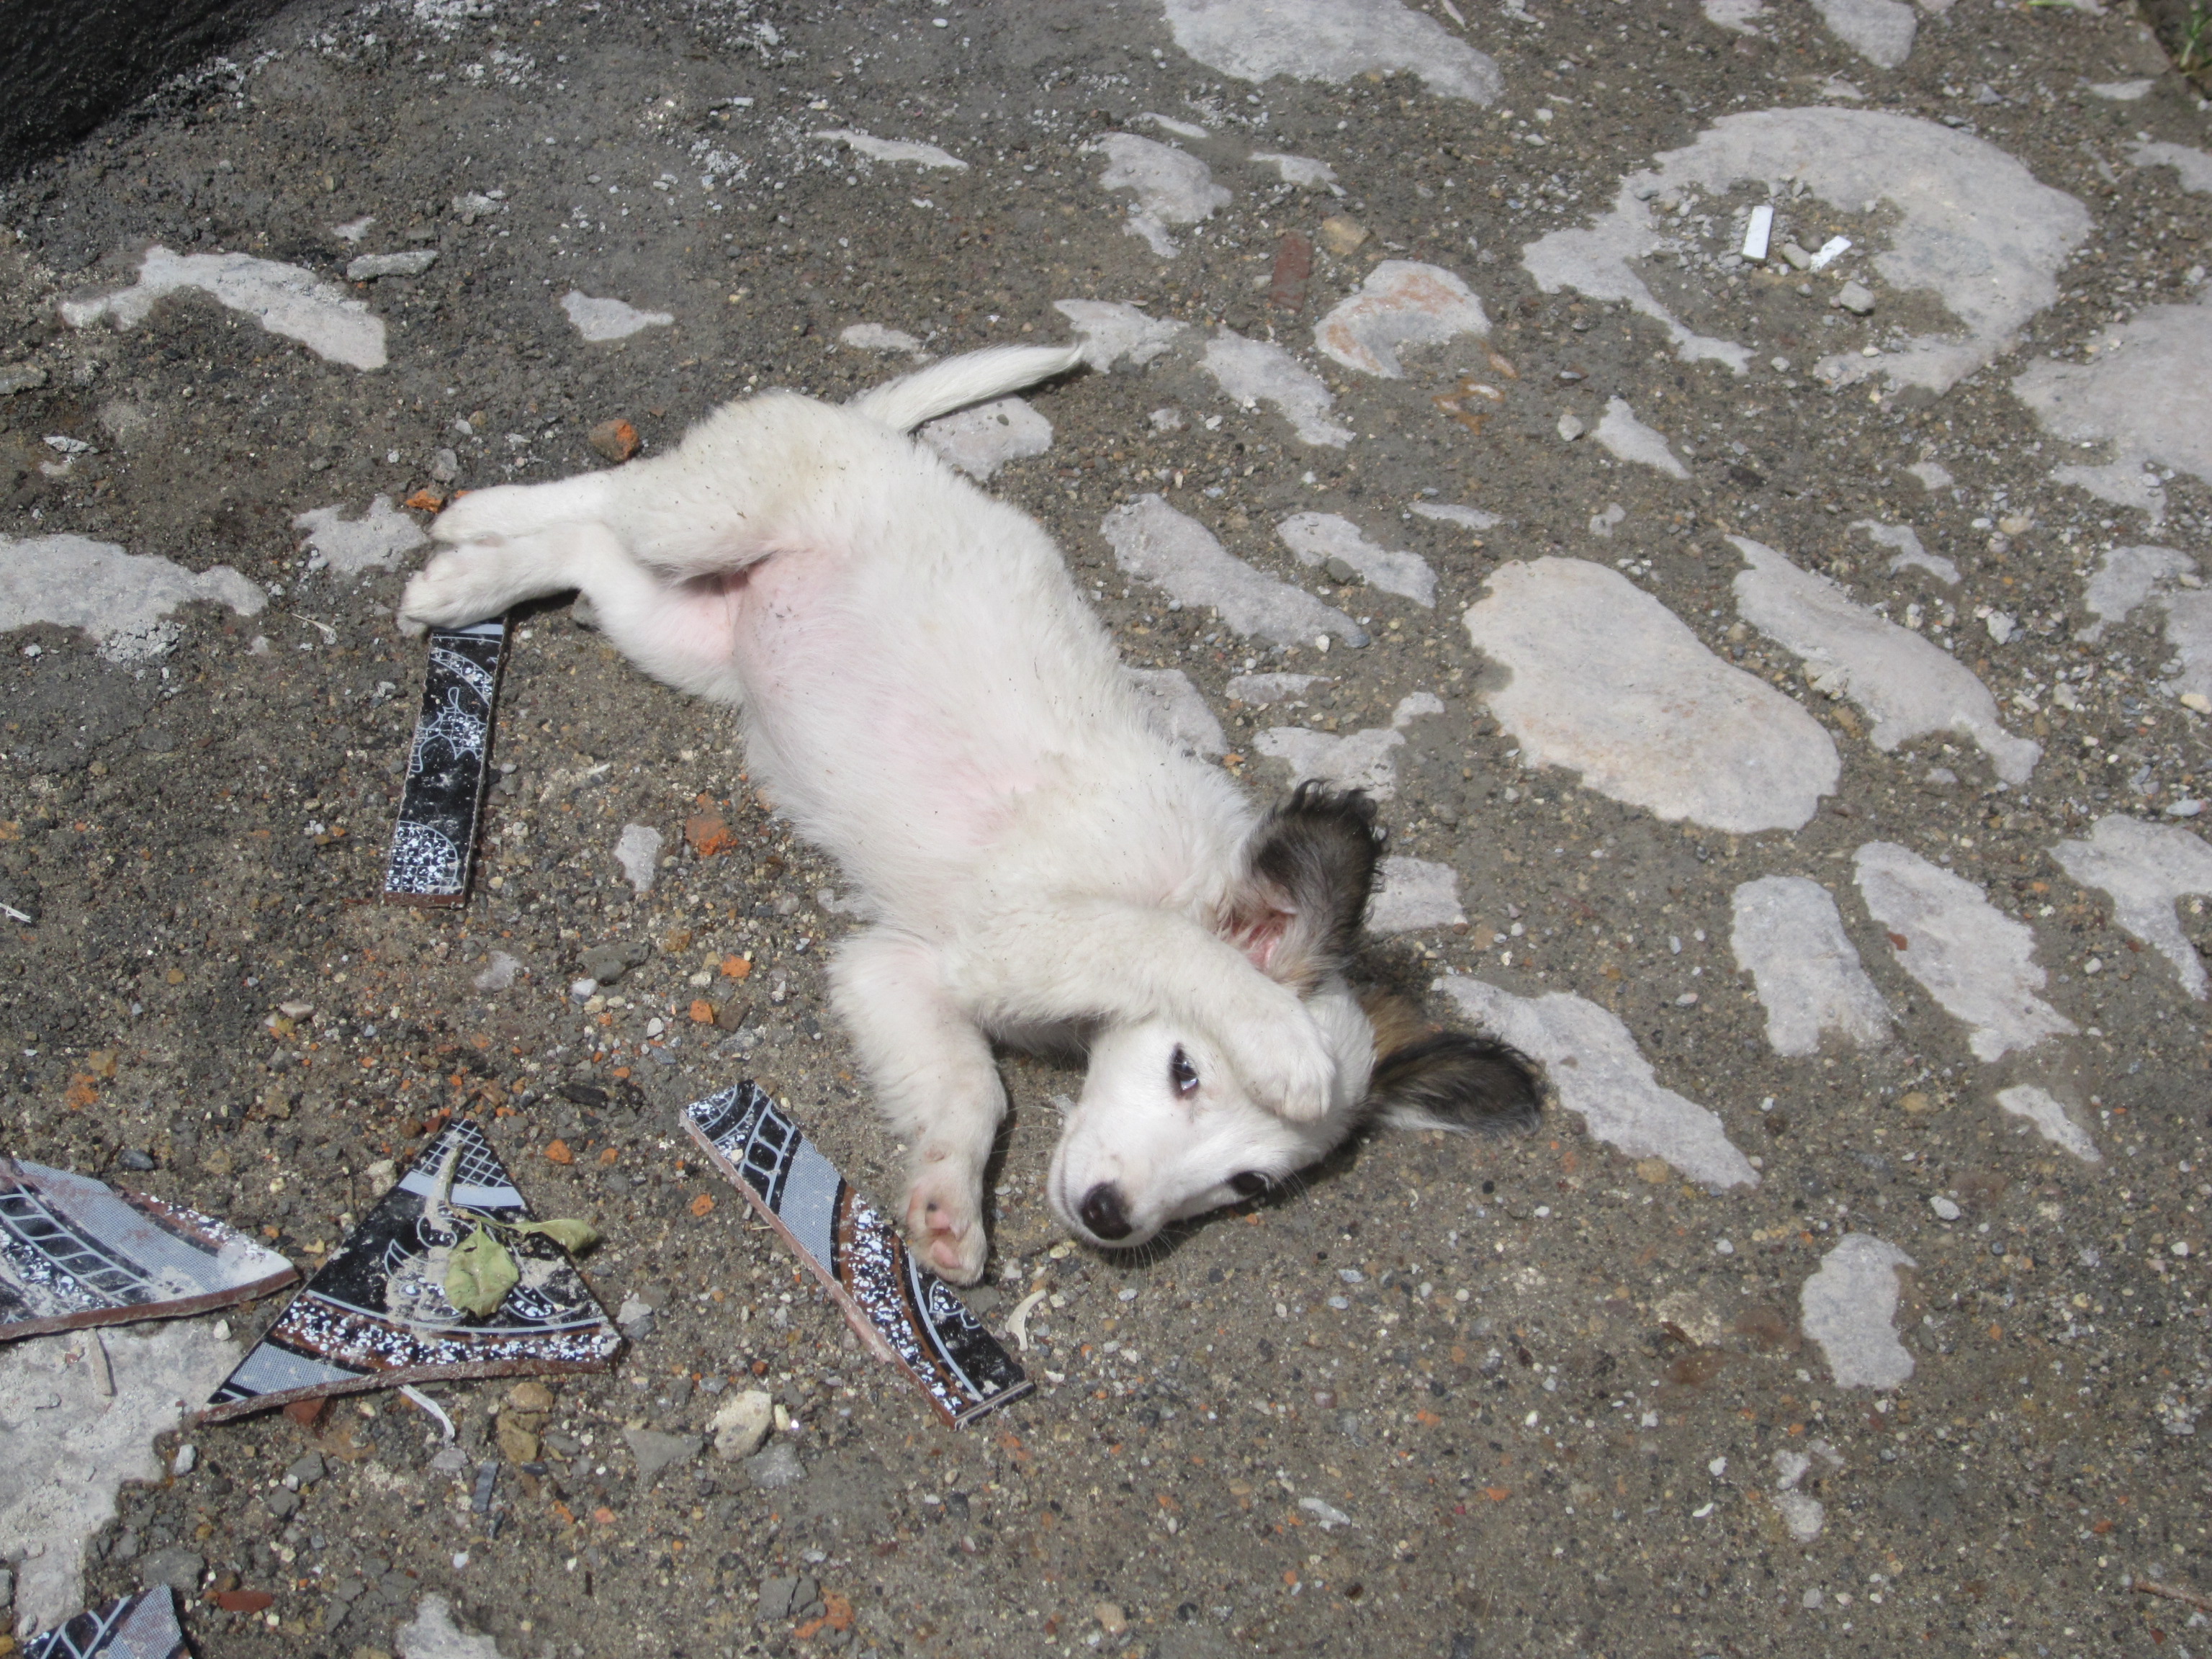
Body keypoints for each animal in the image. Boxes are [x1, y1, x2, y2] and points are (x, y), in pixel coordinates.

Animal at [398, 344, 1539, 1283]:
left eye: (1248, 1187)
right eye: (1185, 1072)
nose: (1110, 1216)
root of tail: (869, 433)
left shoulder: (899, 968)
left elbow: (970, 1091)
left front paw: (947, 1206)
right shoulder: (1026, 923)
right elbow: (1167, 947)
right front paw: (1278, 1037)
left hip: (680, 633)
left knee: (590, 552)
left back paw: (474, 578)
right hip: (708, 513)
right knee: (613, 491)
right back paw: (471, 525)